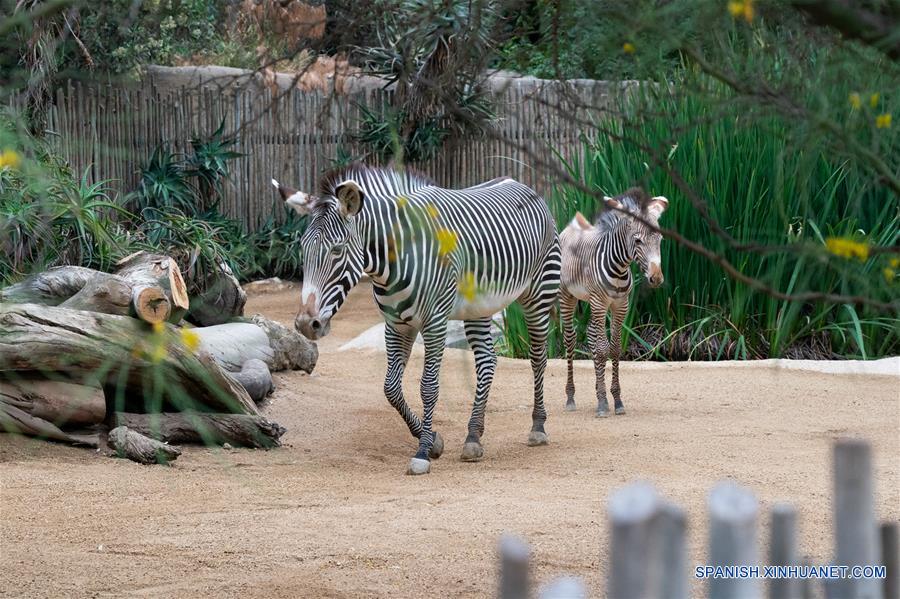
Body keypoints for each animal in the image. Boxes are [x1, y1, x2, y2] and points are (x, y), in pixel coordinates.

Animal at [270, 164, 560, 474]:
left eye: (337, 250)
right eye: (303, 248)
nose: (305, 325)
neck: (394, 261)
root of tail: (517, 182)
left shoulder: (435, 323)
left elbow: (428, 387)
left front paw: (422, 453)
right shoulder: (396, 325)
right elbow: (391, 388)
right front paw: (432, 441)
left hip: (539, 293)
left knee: (538, 357)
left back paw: (538, 427)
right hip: (478, 307)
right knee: (486, 361)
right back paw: (473, 437)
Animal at [560, 188, 672, 418]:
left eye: (660, 239)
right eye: (638, 241)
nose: (656, 279)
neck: (619, 269)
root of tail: (574, 224)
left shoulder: (621, 306)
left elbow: (614, 348)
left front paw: (616, 400)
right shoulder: (600, 302)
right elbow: (603, 350)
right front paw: (603, 403)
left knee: (592, 336)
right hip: (567, 297)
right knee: (570, 340)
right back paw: (570, 397)